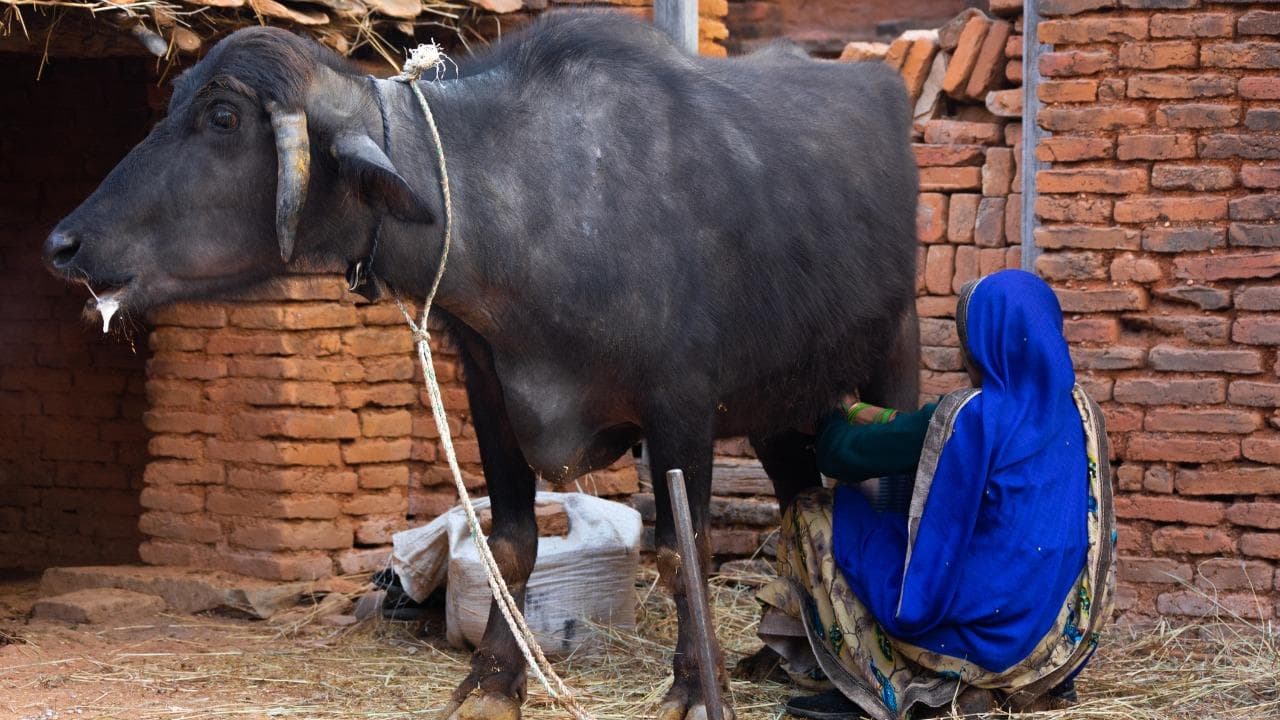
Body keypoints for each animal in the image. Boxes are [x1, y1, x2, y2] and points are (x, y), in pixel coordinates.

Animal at [44, 14, 920, 720]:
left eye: (222, 116)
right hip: (784, 402)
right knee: (801, 500)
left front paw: (696, 692)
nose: (64, 243)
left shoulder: (683, 408)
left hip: (895, 349)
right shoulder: (490, 391)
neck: (535, 204)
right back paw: (782, 653)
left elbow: (685, 554)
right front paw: (494, 684)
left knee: (888, 486)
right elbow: (511, 546)